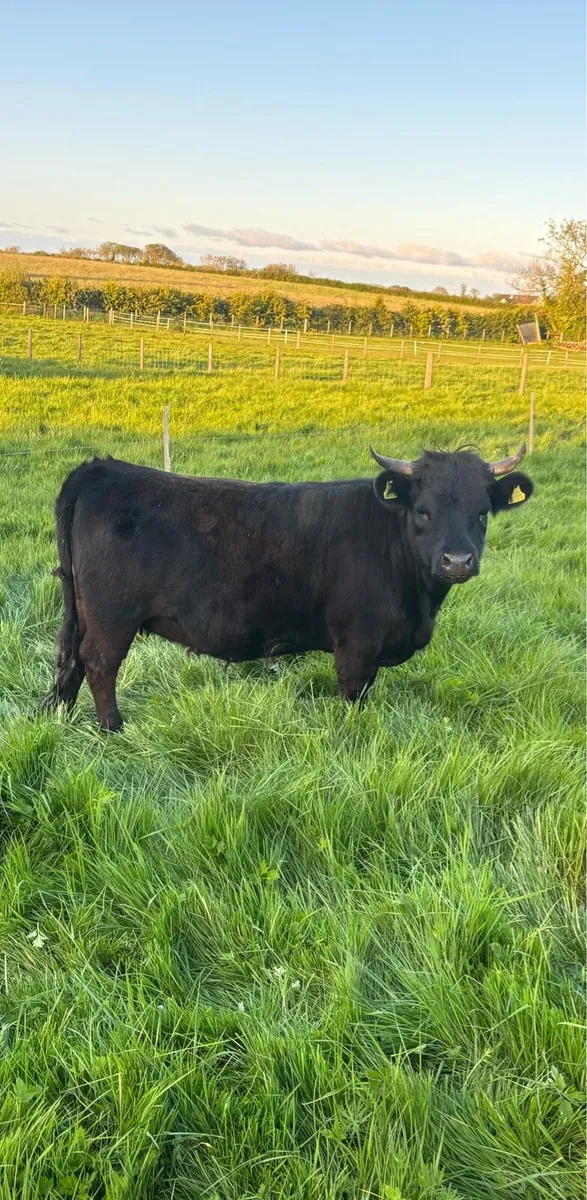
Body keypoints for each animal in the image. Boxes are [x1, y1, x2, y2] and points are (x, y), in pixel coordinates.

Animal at [42, 444, 533, 730]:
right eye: (423, 511)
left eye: (482, 513)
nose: (457, 561)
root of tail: (101, 469)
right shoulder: (356, 643)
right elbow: (353, 696)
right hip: (112, 616)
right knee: (99, 664)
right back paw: (113, 728)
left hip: (84, 612)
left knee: (72, 663)